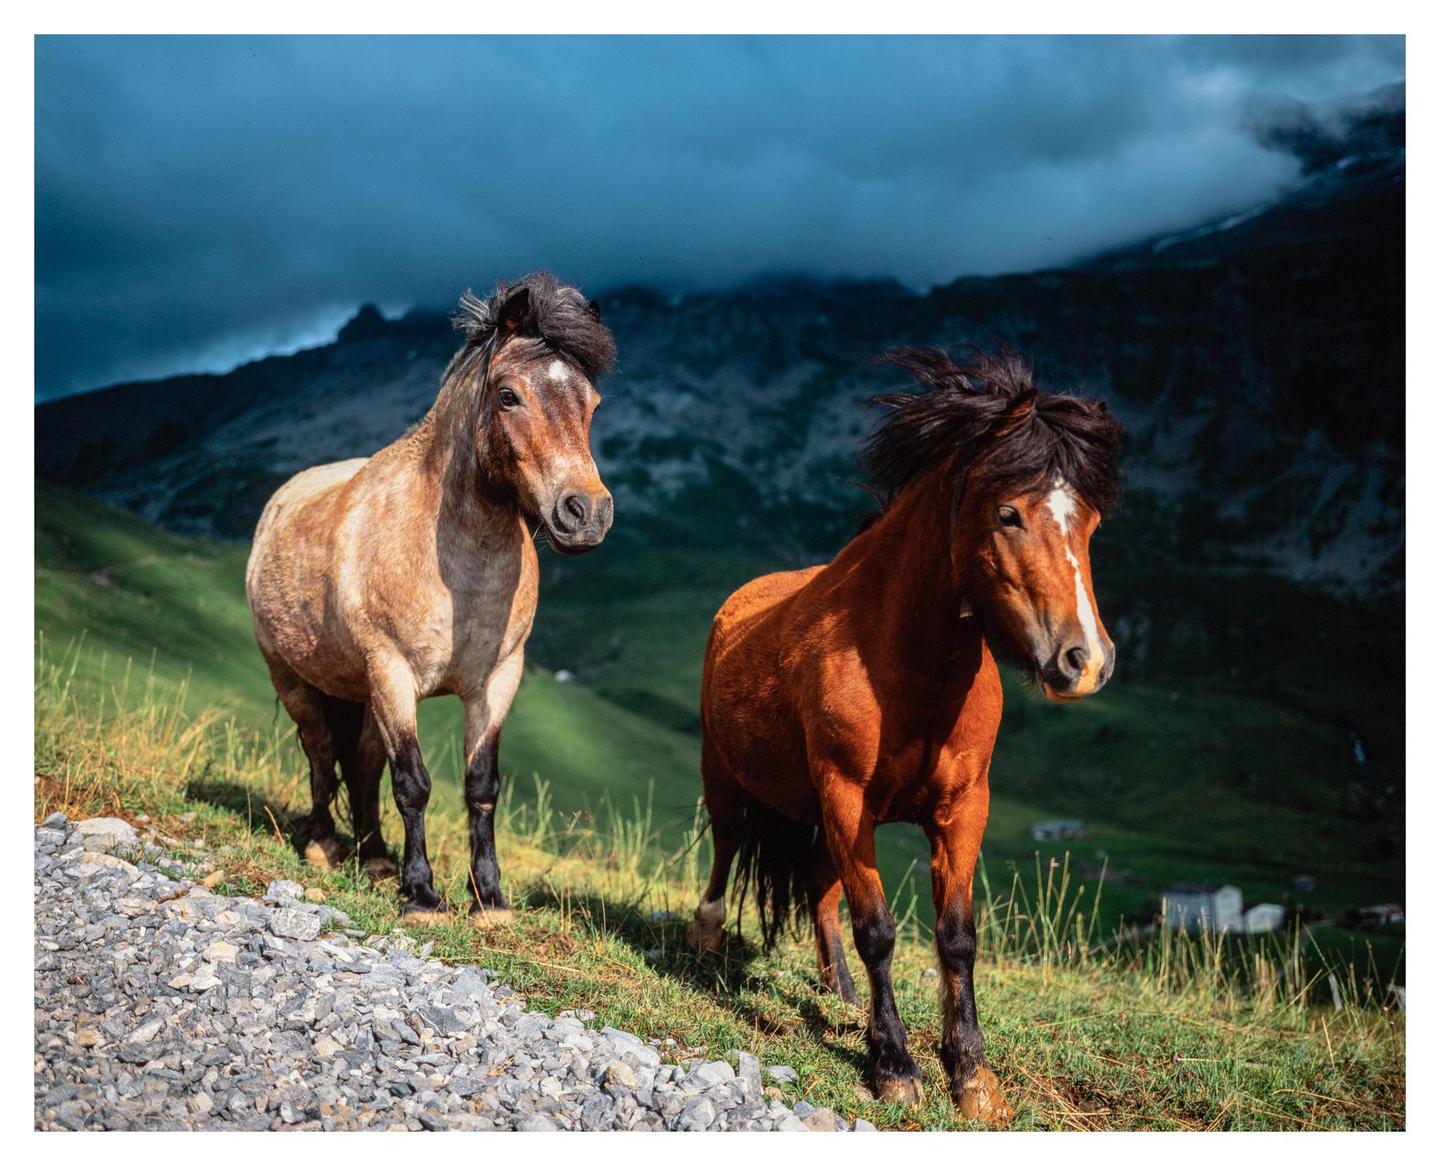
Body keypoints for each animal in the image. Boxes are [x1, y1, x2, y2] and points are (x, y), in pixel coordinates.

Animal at [245, 271, 616, 925]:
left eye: (592, 403)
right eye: (508, 396)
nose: (587, 512)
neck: (454, 568)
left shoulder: (498, 681)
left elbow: (481, 786)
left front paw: (489, 897)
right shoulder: (393, 673)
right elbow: (413, 784)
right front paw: (421, 894)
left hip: (360, 691)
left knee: (362, 764)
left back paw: (374, 857)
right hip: (295, 678)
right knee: (321, 751)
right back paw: (323, 846)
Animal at [684, 346, 1122, 1123]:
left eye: (1092, 525)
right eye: (1008, 513)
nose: (1085, 661)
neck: (908, 667)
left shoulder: (962, 806)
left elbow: (956, 938)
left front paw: (972, 1075)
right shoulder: (846, 798)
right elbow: (880, 931)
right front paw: (894, 1065)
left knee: (820, 890)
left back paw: (837, 990)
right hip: (728, 777)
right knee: (728, 851)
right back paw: (705, 939)